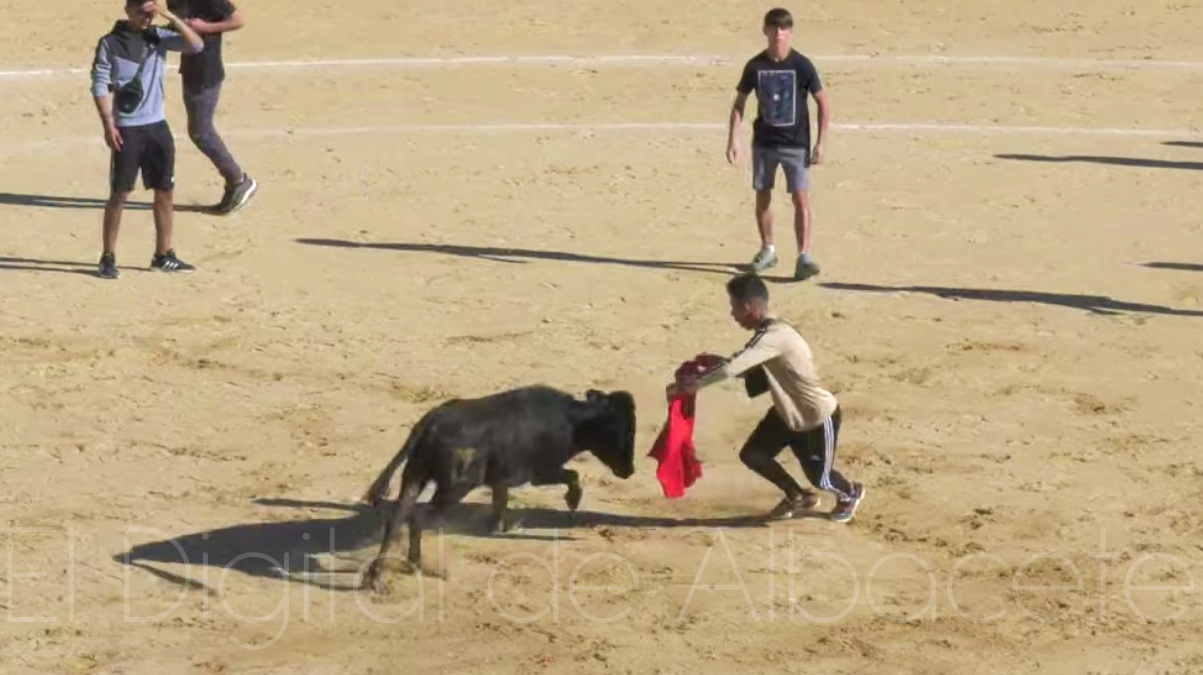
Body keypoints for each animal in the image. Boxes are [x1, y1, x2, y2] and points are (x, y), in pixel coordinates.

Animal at [356, 385, 639, 589]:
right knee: (417, 517)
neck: (574, 421)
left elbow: (500, 501)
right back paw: (418, 563)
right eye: (620, 429)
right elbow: (573, 475)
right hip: (455, 488)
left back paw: (376, 577)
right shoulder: (544, 472)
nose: (630, 470)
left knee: (397, 518)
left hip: (414, 477)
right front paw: (572, 500)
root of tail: (430, 423)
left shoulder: (501, 479)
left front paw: (500, 527)